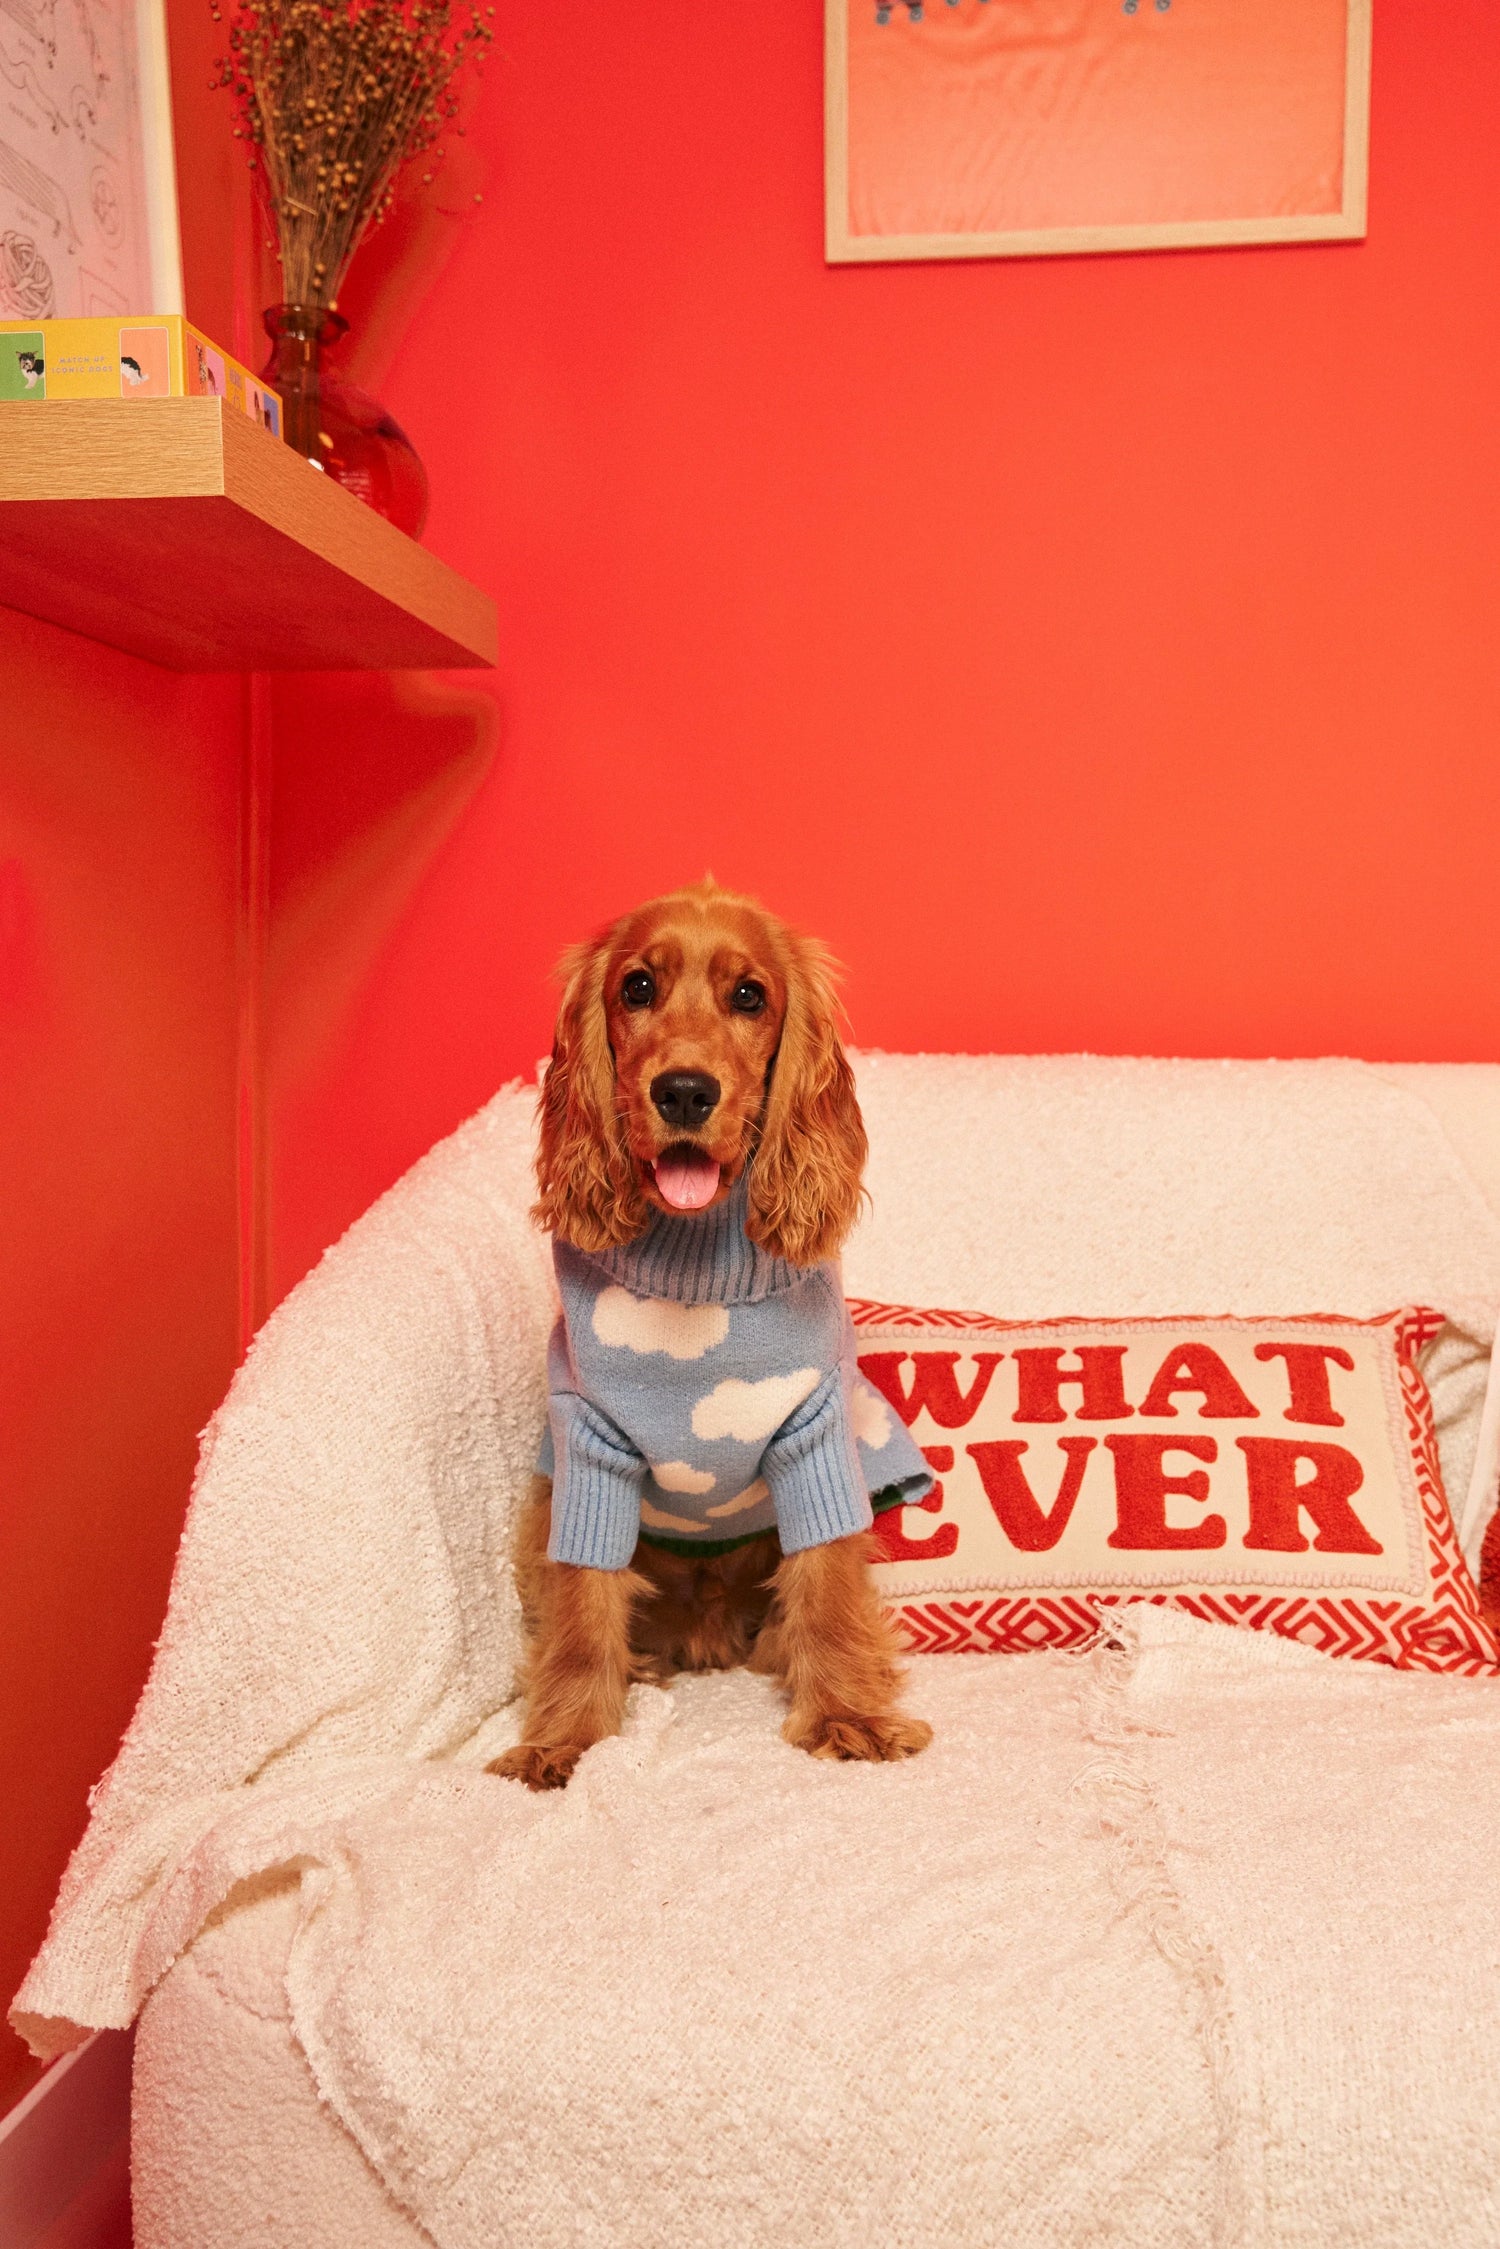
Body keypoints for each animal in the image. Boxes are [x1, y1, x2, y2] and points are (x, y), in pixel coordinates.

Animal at [492, 877, 931, 1790]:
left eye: (749, 995)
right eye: (637, 987)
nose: (686, 1091)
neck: (696, 1264)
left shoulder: (813, 1436)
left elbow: (828, 1588)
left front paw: (848, 1713)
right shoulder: (589, 1448)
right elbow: (582, 1606)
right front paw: (568, 1735)